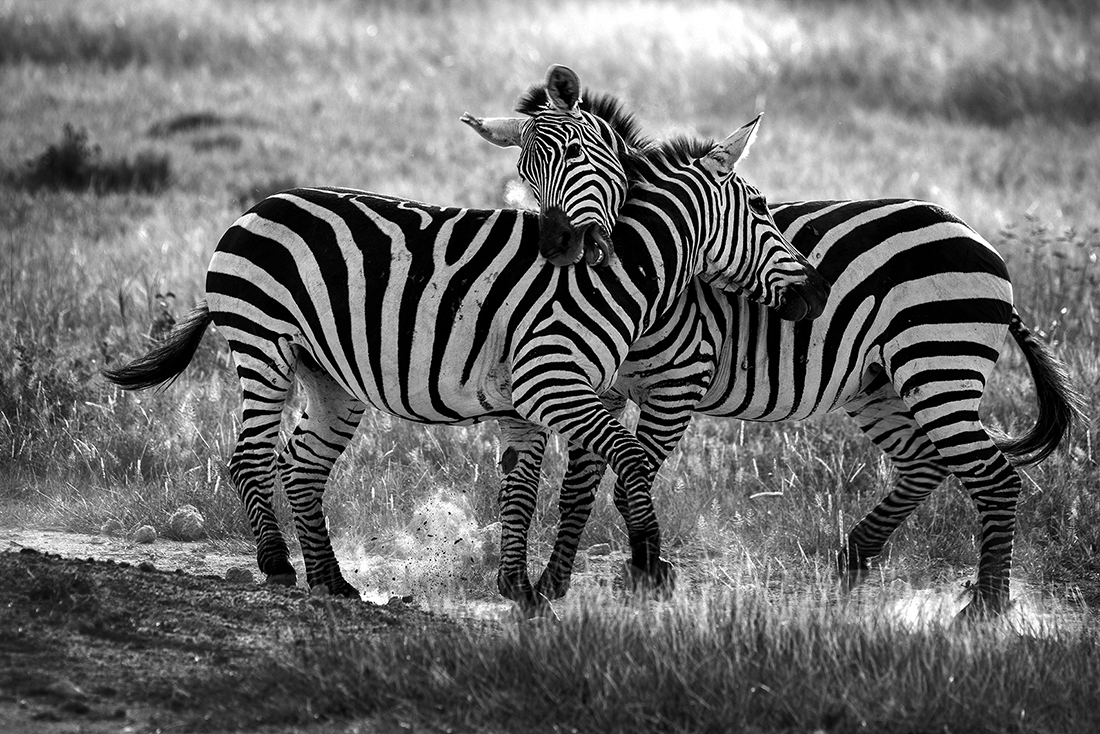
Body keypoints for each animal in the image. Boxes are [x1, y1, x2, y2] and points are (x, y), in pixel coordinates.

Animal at [102, 65, 829, 616]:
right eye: (762, 208)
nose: (815, 295)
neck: (623, 272)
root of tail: (257, 207)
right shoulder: (548, 385)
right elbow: (625, 460)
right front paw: (649, 563)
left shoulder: (537, 401)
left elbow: (528, 486)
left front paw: (520, 588)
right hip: (265, 345)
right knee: (250, 456)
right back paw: (279, 566)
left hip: (329, 377)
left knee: (300, 464)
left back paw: (333, 582)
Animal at [466, 87, 1084, 617]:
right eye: (523, 175)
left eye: (579, 158)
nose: (556, 247)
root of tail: (977, 236)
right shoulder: (599, 385)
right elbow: (580, 489)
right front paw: (554, 582)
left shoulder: (676, 383)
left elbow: (623, 480)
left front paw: (640, 576)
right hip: (880, 384)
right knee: (924, 461)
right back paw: (854, 561)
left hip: (938, 366)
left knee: (993, 477)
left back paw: (987, 608)